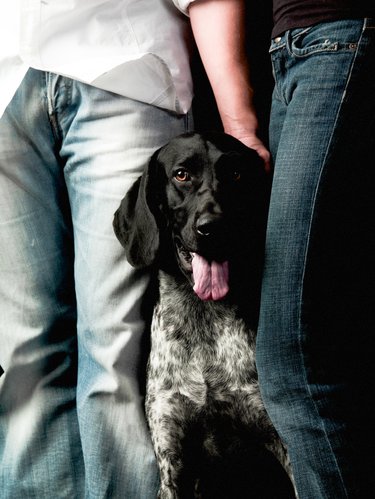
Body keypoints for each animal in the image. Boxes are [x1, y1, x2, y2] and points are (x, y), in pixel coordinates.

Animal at [113, 133, 296, 499]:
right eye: (182, 174)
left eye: (236, 174)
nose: (214, 227)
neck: (203, 319)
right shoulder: (172, 458)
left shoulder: (279, 444)